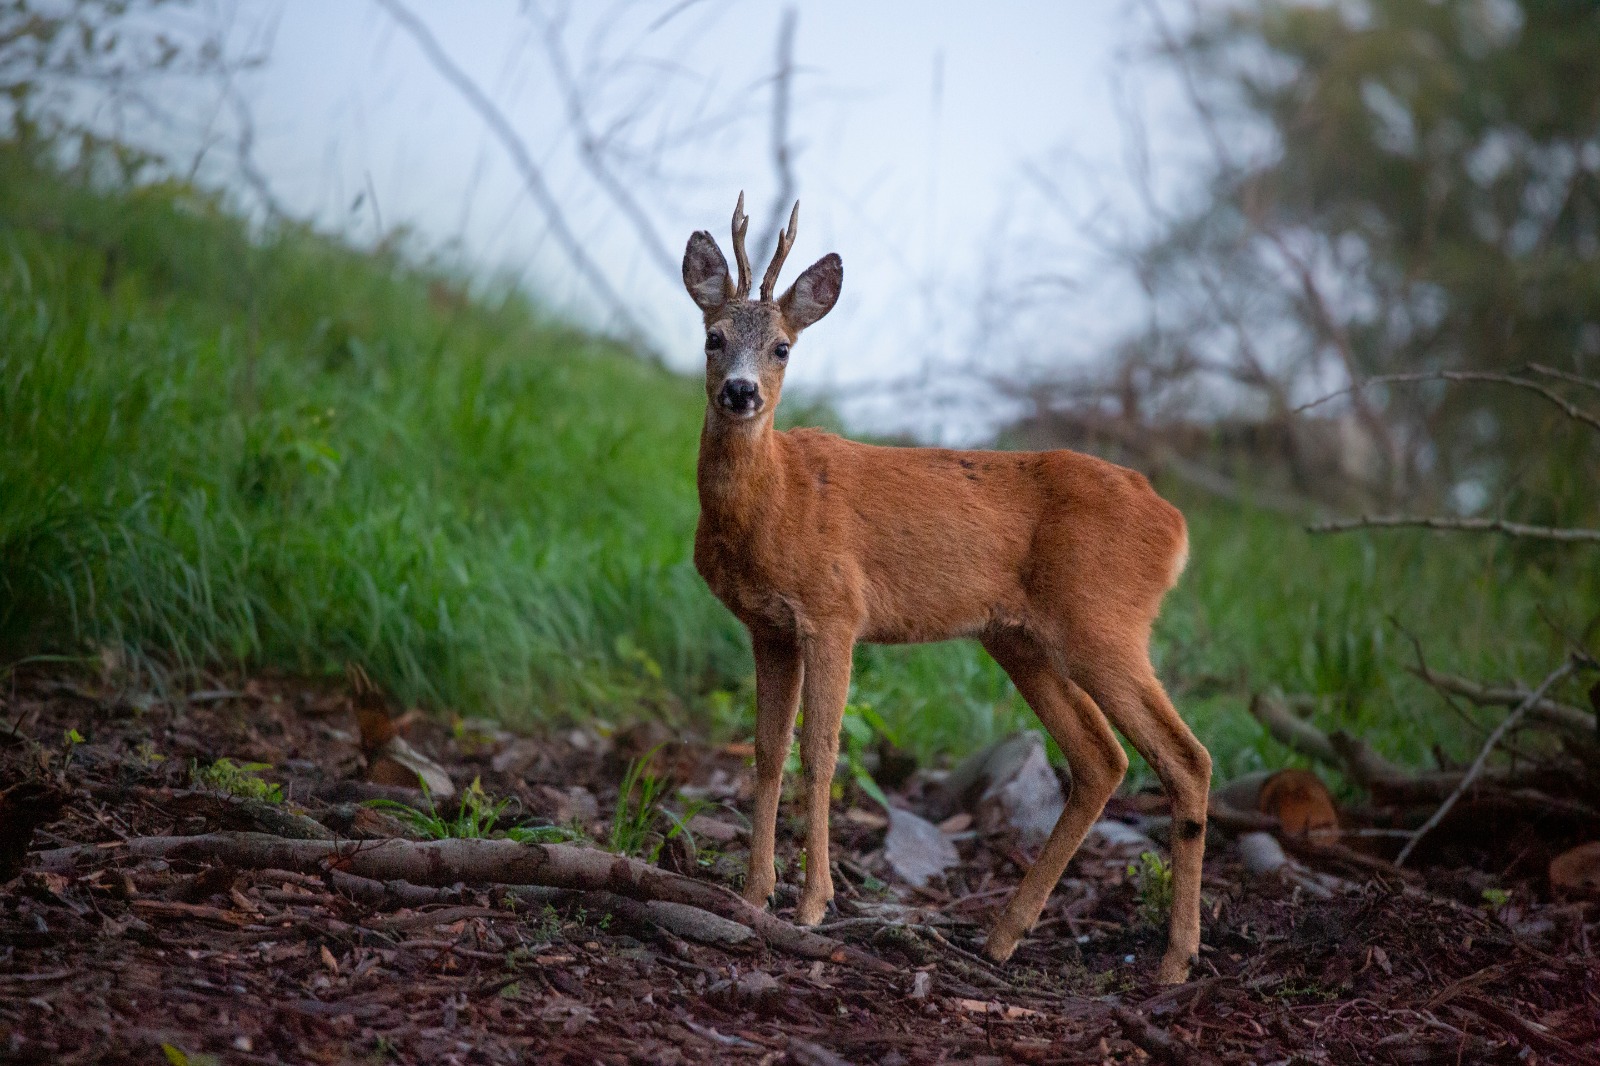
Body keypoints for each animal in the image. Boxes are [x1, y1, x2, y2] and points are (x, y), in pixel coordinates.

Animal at [678, 192, 1209, 979]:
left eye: (782, 347)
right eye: (713, 337)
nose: (741, 393)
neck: (776, 500)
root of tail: (1175, 526)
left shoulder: (835, 610)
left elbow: (821, 752)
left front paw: (814, 904)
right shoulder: (769, 625)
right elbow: (767, 751)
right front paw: (752, 893)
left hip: (1104, 622)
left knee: (1186, 758)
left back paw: (1174, 960)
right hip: (1018, 638)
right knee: (1101, 758)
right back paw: (1003, 935)